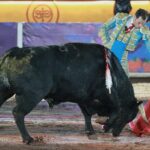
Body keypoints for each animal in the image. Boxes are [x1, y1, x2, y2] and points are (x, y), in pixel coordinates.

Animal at [0, 42, 141, 144]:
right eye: (129, 116)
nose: (116, 134)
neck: (112, 71)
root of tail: (14, 52)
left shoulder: (83, 98)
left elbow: (87, 114)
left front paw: (90, 131)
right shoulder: (104, 95)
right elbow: (115, 111)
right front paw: (104, 125)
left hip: (5, 91)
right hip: (31, 96)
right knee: (18, 113)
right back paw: (28, 139)